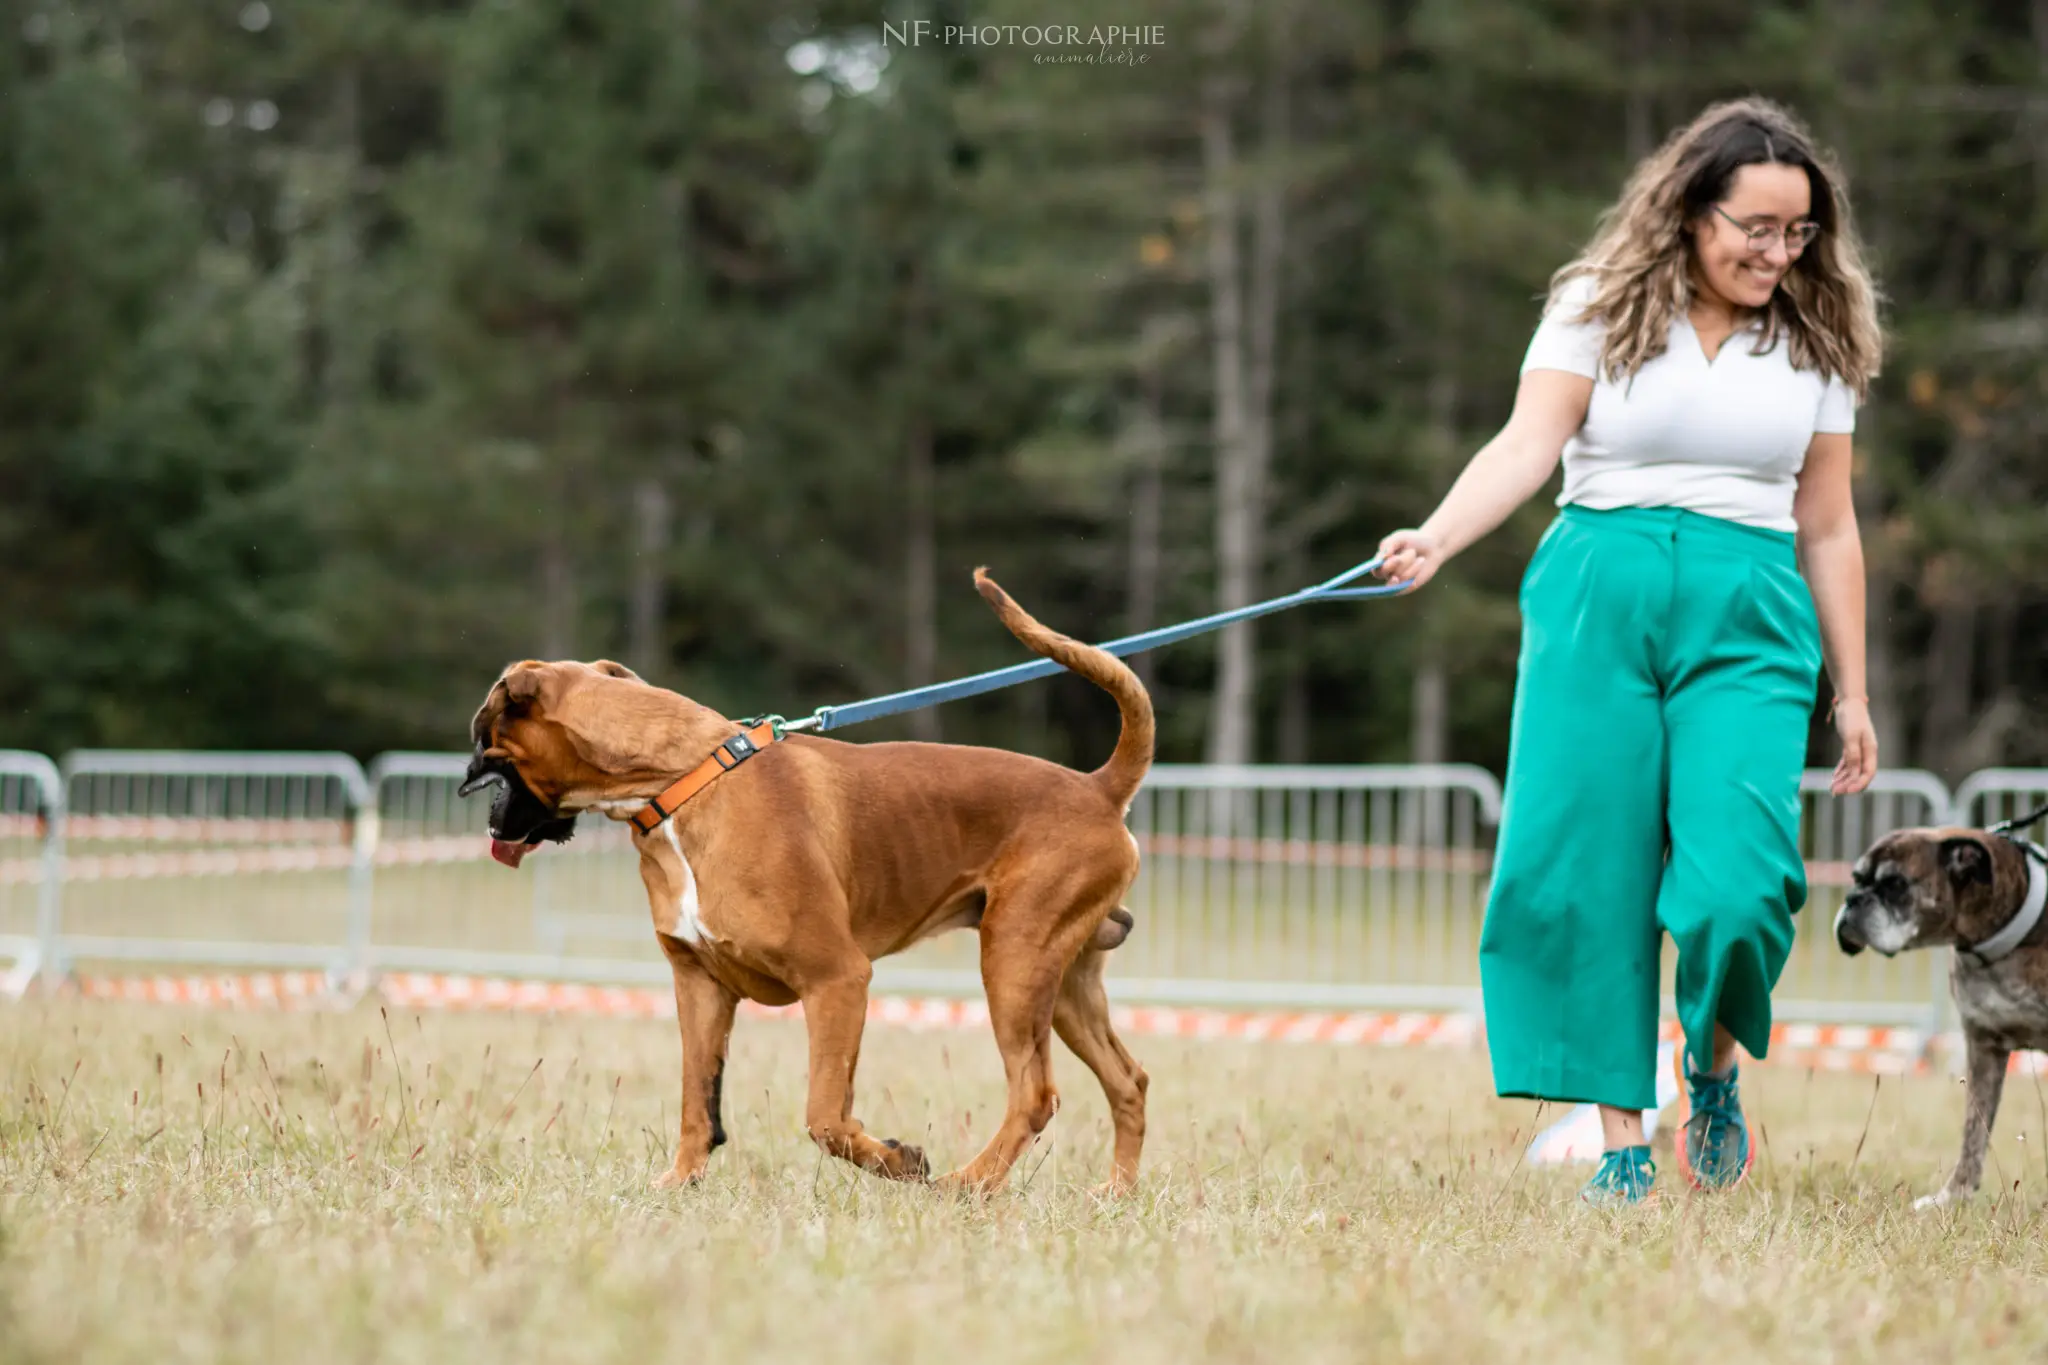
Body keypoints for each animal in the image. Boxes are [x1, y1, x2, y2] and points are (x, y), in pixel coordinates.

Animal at [458, 568, 1155, 1195]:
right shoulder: (699, 986)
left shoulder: (837, 981)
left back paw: (968, 1183)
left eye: (486, 741)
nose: (471, 787)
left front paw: (898, 1161)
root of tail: (1097, 787)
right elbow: (697, 1099)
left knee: (1034, 1093)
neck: (683, 779)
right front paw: (681, 1182)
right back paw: (1116, 1193)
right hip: (1063, 984)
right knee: (1128, 1081)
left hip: (1013, 964)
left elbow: (825, 1117)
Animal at [1843, 818, 2048, 1211]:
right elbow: (1974, 1132)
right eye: (1857, 878)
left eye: (1895, 884)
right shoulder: (1984, 1048)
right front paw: (1953, 1197)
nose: (1852, 900)